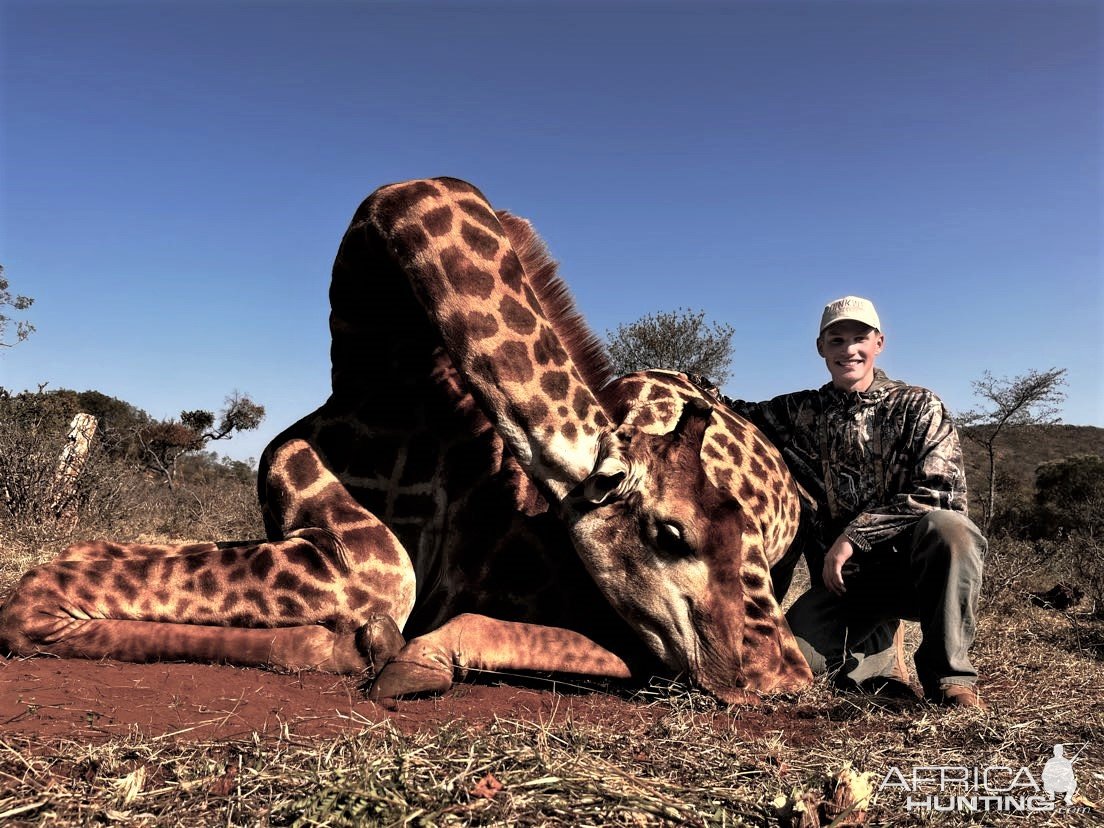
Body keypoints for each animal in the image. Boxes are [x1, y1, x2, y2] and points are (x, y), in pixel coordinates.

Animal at [0, 178, 812, 702]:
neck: (378, 372)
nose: (761, 678)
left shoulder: (365, 562)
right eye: (671, 534)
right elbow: (55, 576)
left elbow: (39, 586)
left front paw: (372, 649)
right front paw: (355, 644)